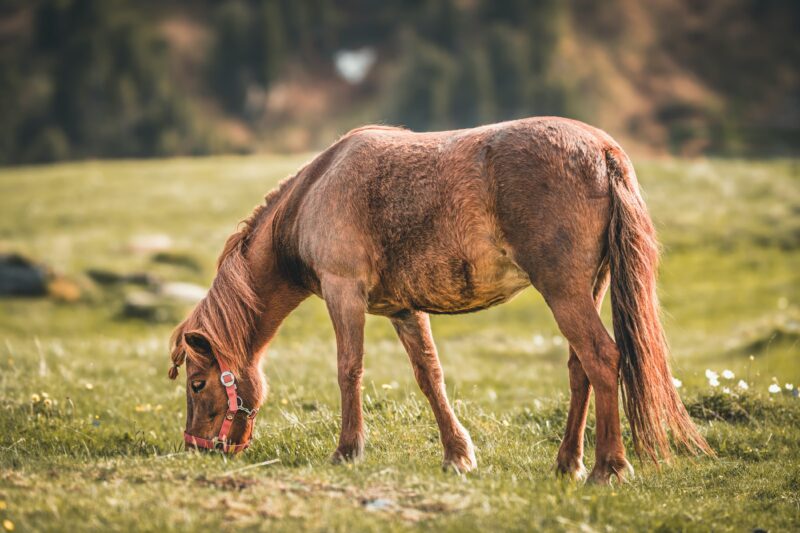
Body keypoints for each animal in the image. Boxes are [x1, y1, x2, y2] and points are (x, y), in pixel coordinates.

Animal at [169, 116, 712, 482]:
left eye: (197, 384)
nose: (199, 448)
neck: (314, 194)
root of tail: (603, 150)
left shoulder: (344, 293)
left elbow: (349, 370)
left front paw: (348, 450)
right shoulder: (403, 309)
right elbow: (430, 377)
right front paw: (457, 455)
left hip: (564, 292)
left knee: (602, 359)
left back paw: (609, 467)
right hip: (587, 289)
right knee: (581, 369)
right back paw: (568, 463)